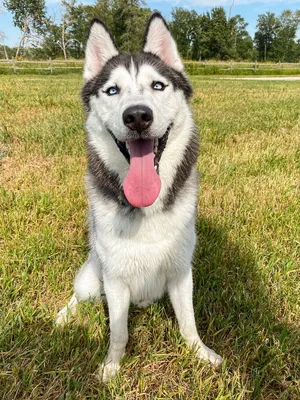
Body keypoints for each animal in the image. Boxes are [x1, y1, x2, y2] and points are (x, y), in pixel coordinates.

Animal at [56, 13, 221, 382]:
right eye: (112, 90)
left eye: (157, 86)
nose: (137, 116)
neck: (146, 210)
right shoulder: (116, 280)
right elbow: (119, 331)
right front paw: (111, 367)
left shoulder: (181, 272)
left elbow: (188, 323)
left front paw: (200, 353)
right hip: (92, 277)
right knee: (79, 295)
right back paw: (63, 316)